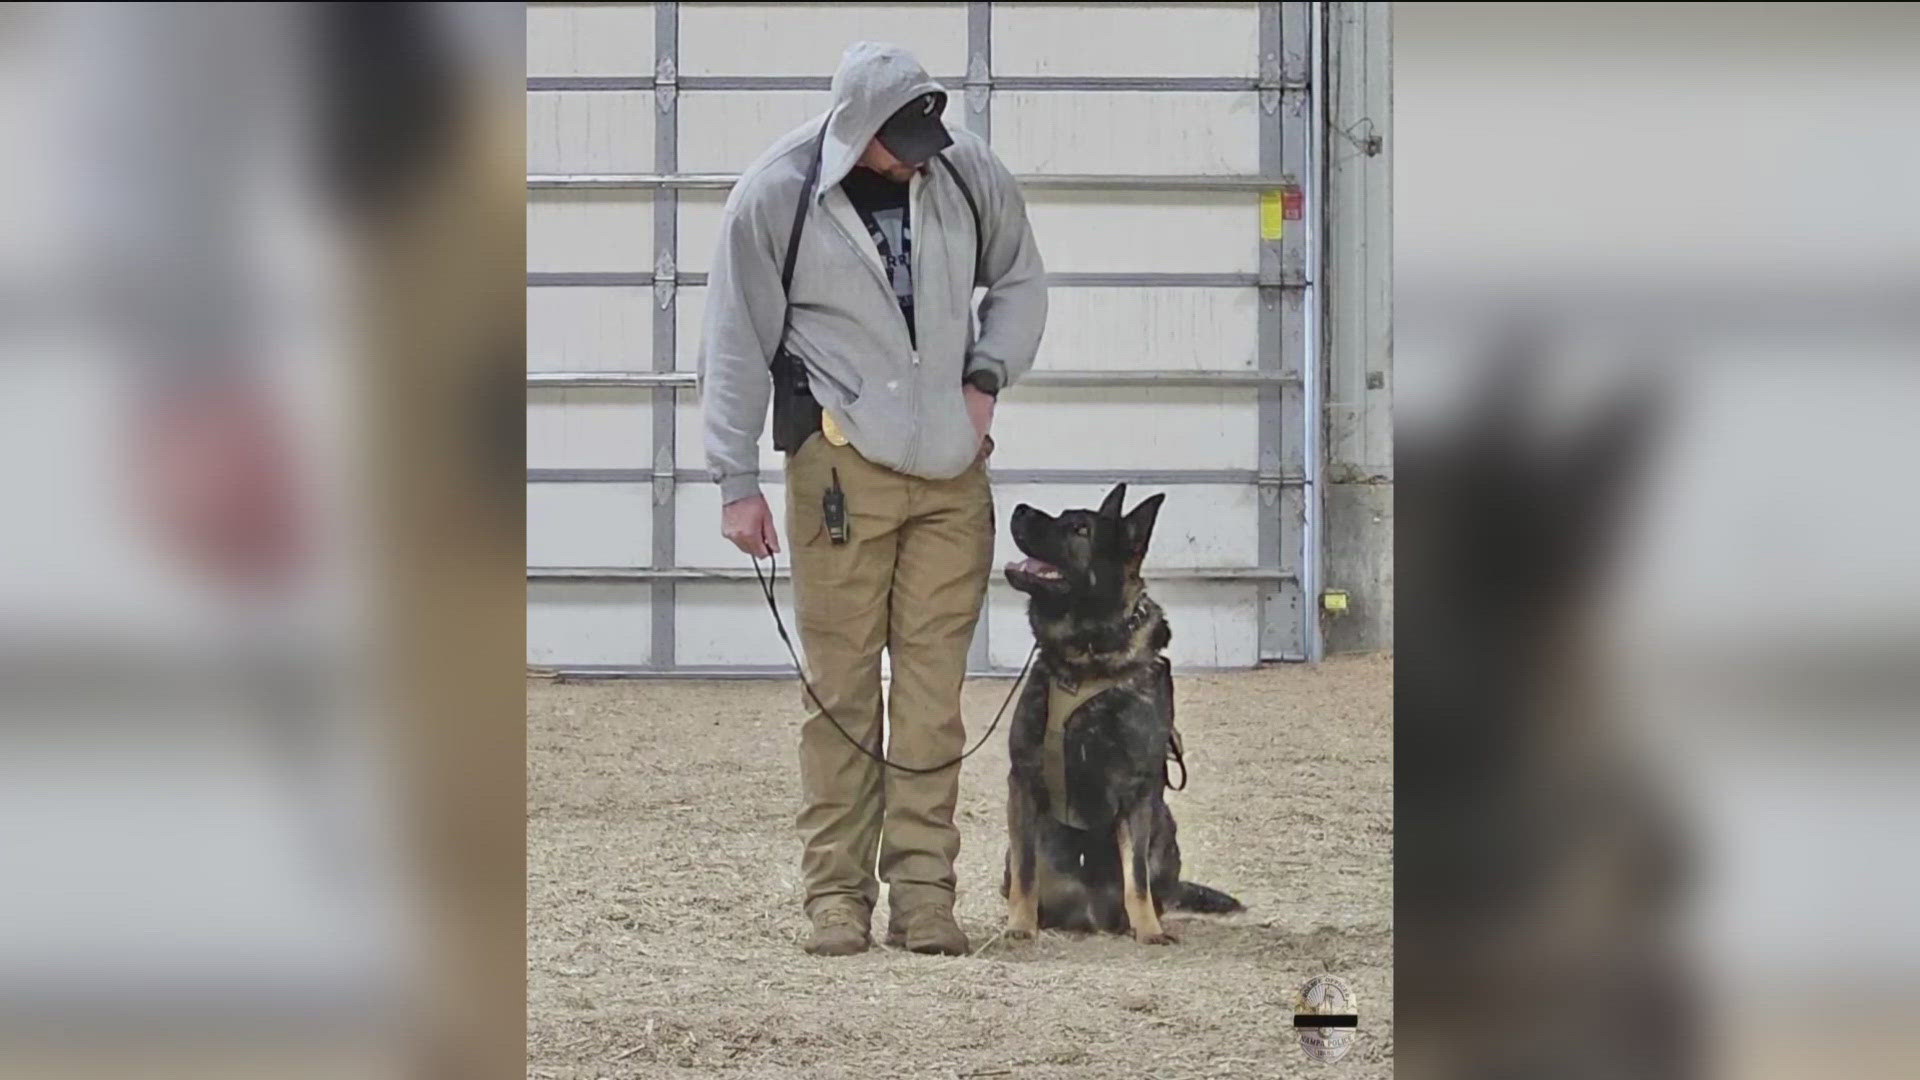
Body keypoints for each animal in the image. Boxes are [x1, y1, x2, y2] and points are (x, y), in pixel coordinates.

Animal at [998, 484, 1251, 937]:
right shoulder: (1023, 783)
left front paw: (1149, 931)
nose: (1021, 508)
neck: (1087, 656)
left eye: (1080, 529)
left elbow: (1136, 874)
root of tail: (1091, 914)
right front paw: (1020, 926)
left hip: (1165, 828)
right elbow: (1027, 873)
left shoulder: (1139, 792)